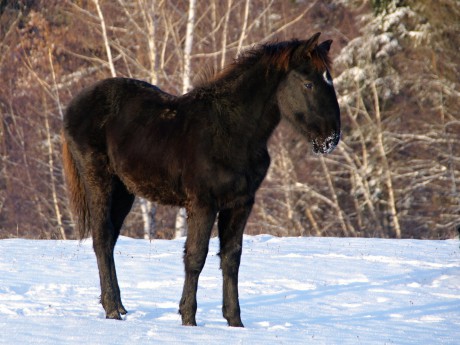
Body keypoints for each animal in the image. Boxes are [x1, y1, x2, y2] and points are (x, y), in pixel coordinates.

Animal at [61, 31, 342, 326]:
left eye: (329, 80)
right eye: (308, 83)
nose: (331, 138)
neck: (231, 131)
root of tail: (74, 105)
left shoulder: (240, 204)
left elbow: (231, 258)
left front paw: (235, 322)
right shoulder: (203, 204)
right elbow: (196, 257)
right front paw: (188, 319)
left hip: (124, 191)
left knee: (111, 238)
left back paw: (119, 305)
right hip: (99, 181)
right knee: (102, 238)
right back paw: (112, 310)